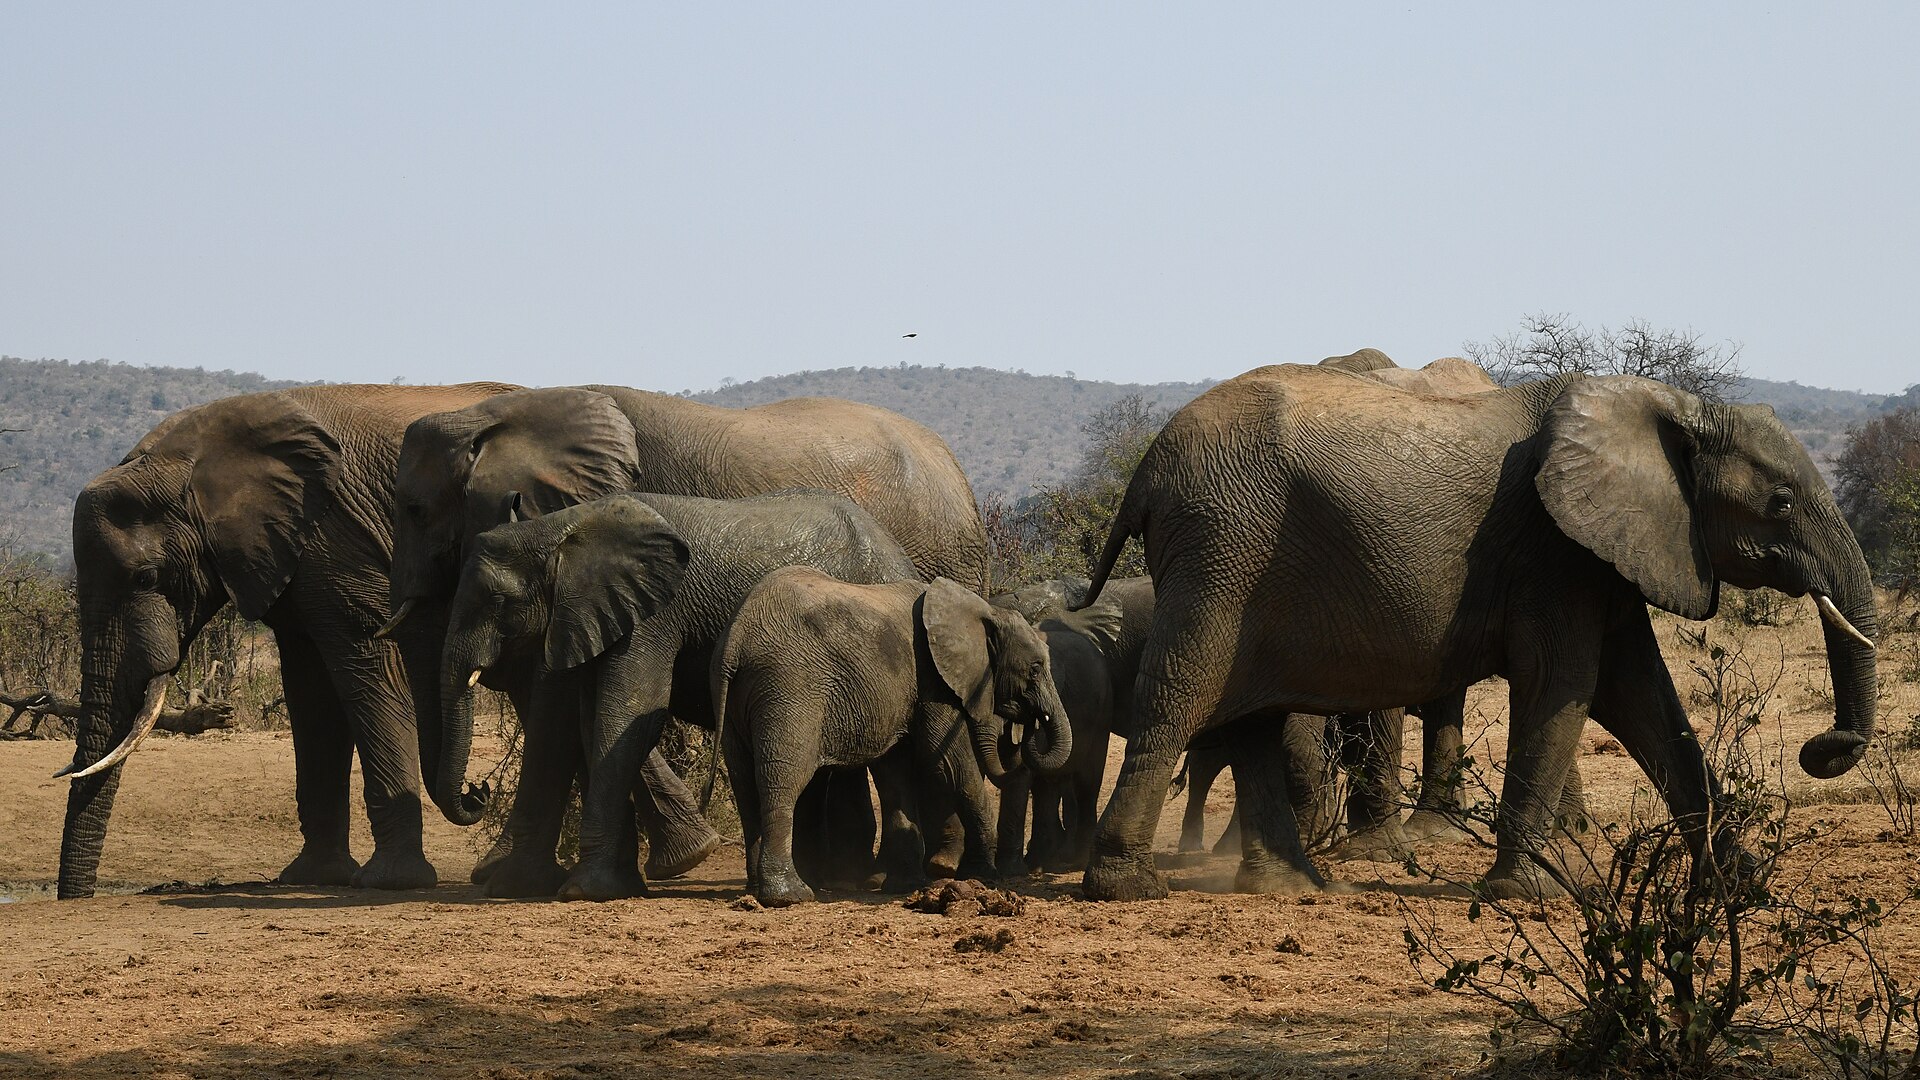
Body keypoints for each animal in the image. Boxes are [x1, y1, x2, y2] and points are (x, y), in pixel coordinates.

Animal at [57, 382, 518, 899]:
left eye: (146, 578)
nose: (478, 791)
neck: (191, 458)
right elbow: (312, 694)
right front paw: (315, 877)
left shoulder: (337, 538)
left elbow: (371, 669)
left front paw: (390, 883)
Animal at [434, 490, 925, 901]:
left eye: (498, 600)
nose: (478, 792)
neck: (564, 527)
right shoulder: (589, 614)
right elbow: (577, 720)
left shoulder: (656, 612)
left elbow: (630, 713)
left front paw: (585, 891)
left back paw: (861, 881)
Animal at [713, 569, 1073, 906]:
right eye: (1036, 668)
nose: (1027, 729)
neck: (981, 609)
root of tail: (736, 637)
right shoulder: (931, 680)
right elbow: (950, 764)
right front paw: (983, 876)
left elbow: (895, 774)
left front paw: (905, 885)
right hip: (788, 689)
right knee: (784, 780)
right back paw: (790, 895)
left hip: (736, 702)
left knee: (745, 784)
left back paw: (757, 890)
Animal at [1076, 358, 1878, 901]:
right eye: (1780, 503)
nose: (1821, 749)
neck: (1674, 408)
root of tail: (1146, 466)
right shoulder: (1554, 551)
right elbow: (1565, 685)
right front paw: (1530, 895)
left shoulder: (1604, 555)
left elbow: (1643, 698)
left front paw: (1745, 887)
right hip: (1219, 549)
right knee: (1181, 692)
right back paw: (1126, 886)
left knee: (1249, 720)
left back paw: (1294, 889)